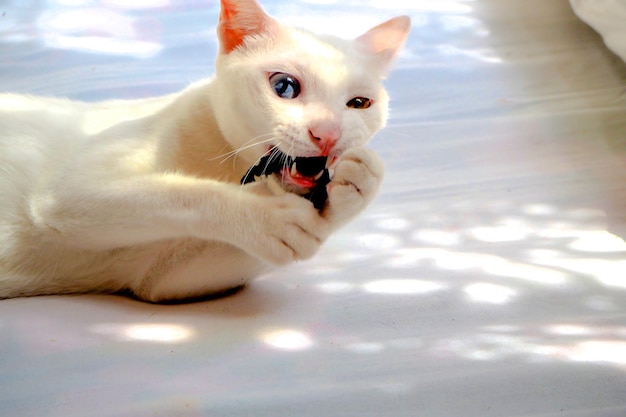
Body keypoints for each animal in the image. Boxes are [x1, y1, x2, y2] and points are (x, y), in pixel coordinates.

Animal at [0, 0, 410, 300]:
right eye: (285, 86)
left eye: (359, 104)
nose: (328, 134)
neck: (223, 162)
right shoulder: (67, 195)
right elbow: (178, 193)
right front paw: (264, 217)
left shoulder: (162, 281)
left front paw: (359, 182)